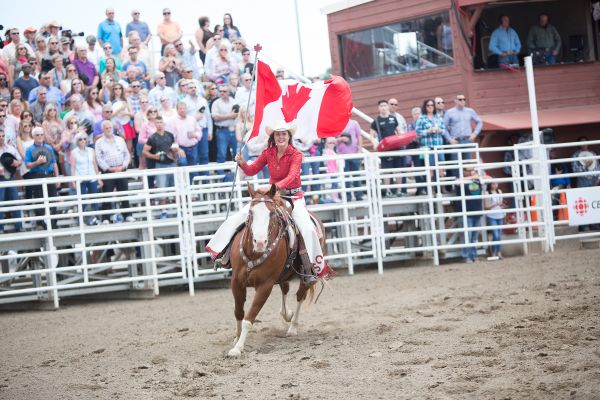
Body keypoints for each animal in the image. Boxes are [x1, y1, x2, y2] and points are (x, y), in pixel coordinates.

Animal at [227, 183, 326, 358]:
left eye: (272, 213)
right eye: (251, 213)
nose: (260, 242)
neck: (254, 254)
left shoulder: (265, 286)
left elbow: (249, 318)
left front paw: (238, 348)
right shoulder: (236, 282)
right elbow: (239, 312)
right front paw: (236, 338)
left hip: (305, 276)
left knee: (300, 295)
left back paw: (292, 327)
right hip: (283, 275)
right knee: (284, 289)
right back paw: (287, 314)